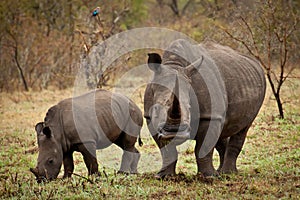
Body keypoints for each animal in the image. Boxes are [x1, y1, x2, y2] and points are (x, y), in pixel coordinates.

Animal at [144, 39, 266, 178]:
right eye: (156, 110)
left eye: (190, 108)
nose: (174, 132)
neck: (175, 64)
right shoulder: (149, 117)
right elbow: (166, 150)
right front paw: (164, 177)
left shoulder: (209, 115)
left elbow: (202, 147)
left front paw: (208, 177)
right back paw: (220, 173)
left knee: (243, 128)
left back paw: (228, 174)